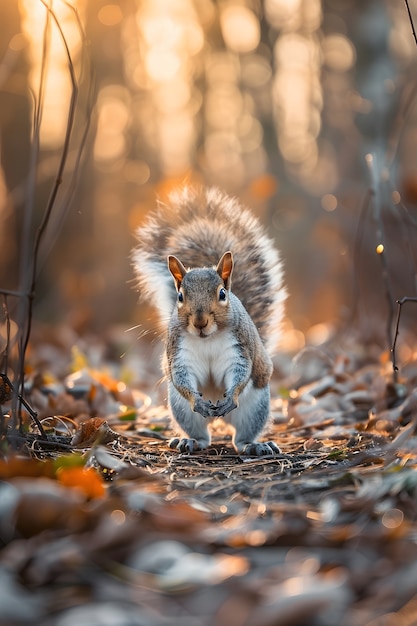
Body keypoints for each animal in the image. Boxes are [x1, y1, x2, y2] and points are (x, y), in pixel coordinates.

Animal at [133, 185, 286, 454]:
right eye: (180, 296)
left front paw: (231, 395)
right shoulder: (179, 353)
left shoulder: (240, 349)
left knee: (241, 437)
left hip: (255, 407)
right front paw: (197, 400)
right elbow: (181, 377)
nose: (200, 321)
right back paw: (190, 441)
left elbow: (241, 373)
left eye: (222, 294)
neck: (207, 338)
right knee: (202, 434)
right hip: (182, 409)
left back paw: (254, 445)